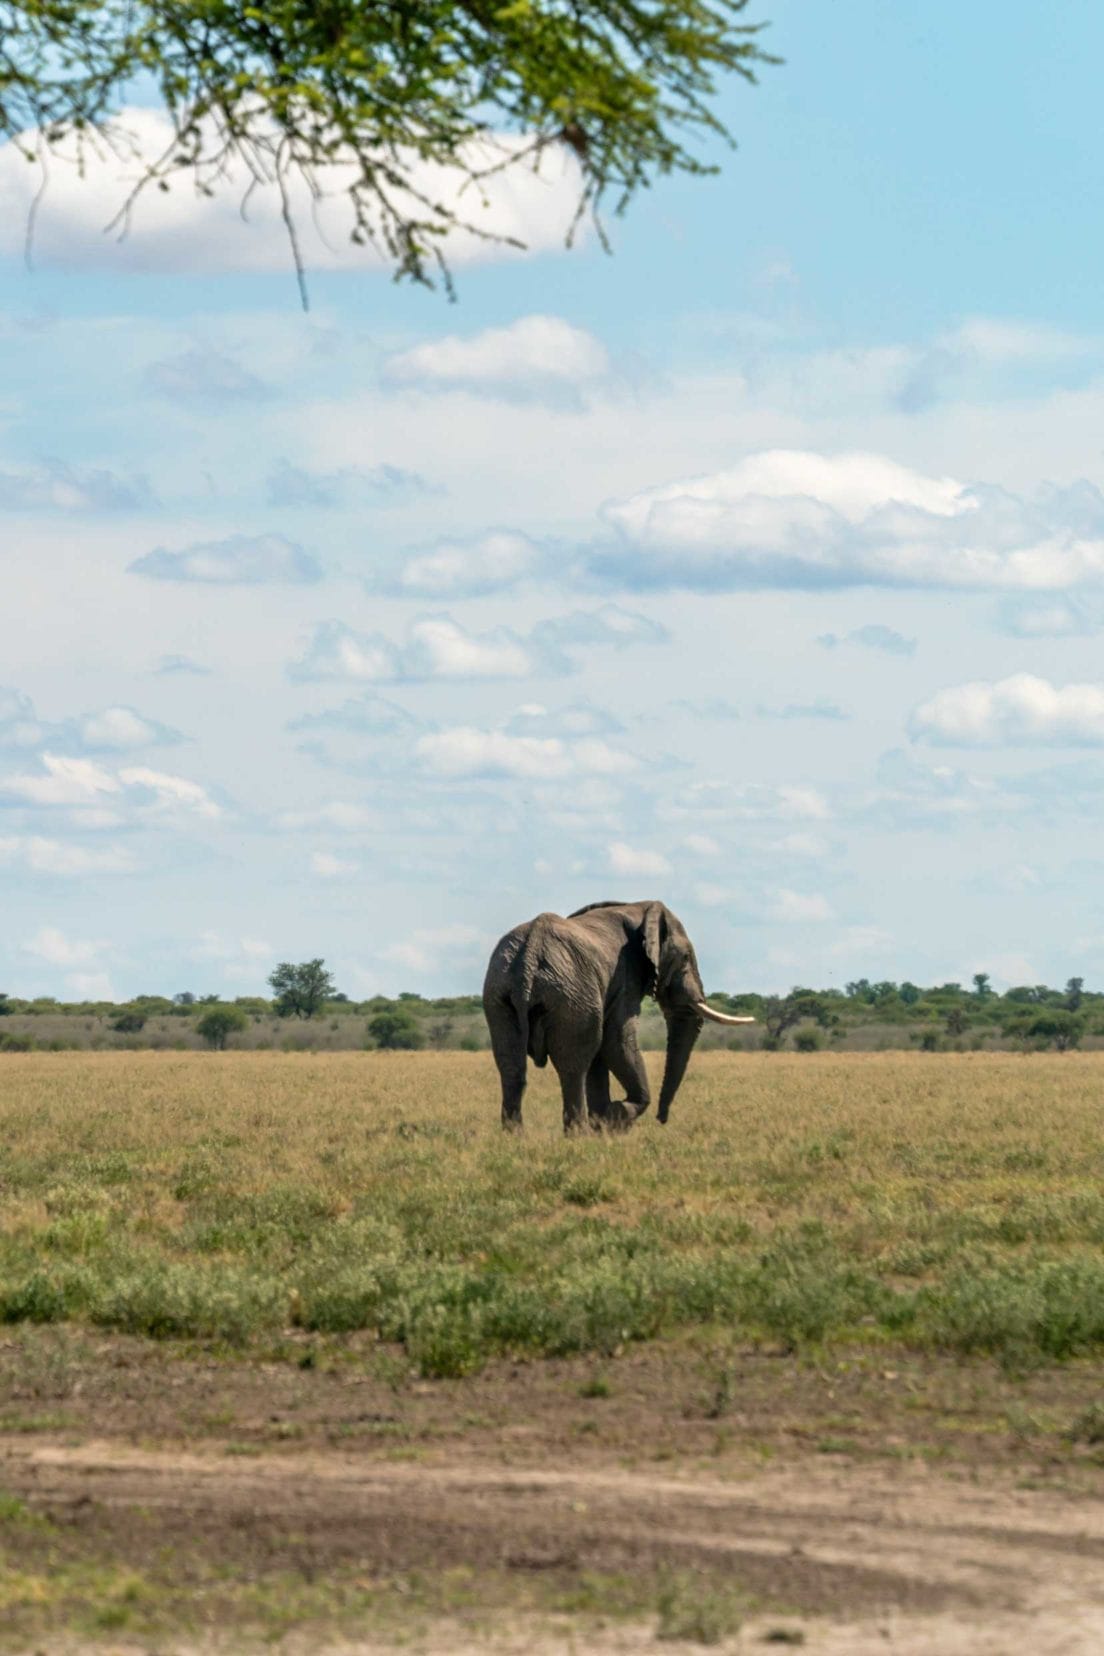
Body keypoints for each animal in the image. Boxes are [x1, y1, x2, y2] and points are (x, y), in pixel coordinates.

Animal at [480, 900, 751, 1132]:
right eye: (685, 958)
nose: (661, 1119)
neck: (639, 908)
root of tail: (530, 951)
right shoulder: (625, 976)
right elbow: (616, 1040)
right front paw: (613, 1119)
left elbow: (602, 1052)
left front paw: (603, 1123)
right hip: (571, 995)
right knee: (573, 1067)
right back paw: (578, 1137)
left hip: (501, 995)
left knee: (512, 1066)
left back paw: (515, 1138)